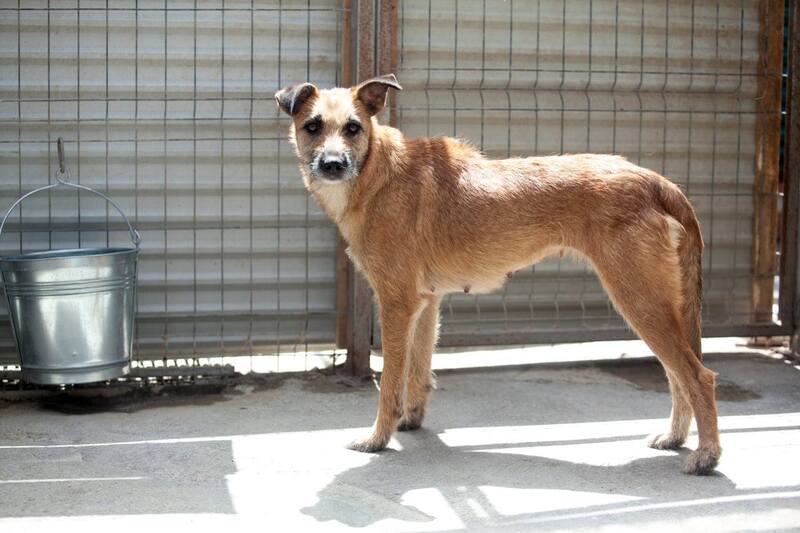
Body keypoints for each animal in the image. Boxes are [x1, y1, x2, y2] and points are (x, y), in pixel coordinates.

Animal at [275, 74, 721, 475]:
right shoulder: (427, 302)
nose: (333, 164)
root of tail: (656, 182)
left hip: (639, 300)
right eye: (312, 126)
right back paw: (675, 437)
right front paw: (410, 420)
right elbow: (419, 371)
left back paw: (706, 456)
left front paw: (377, 438)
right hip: (655, 305)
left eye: (353, 128)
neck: (376, 172)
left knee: (698, 376)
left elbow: (389, 382)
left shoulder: (397, 304)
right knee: (677, 376)